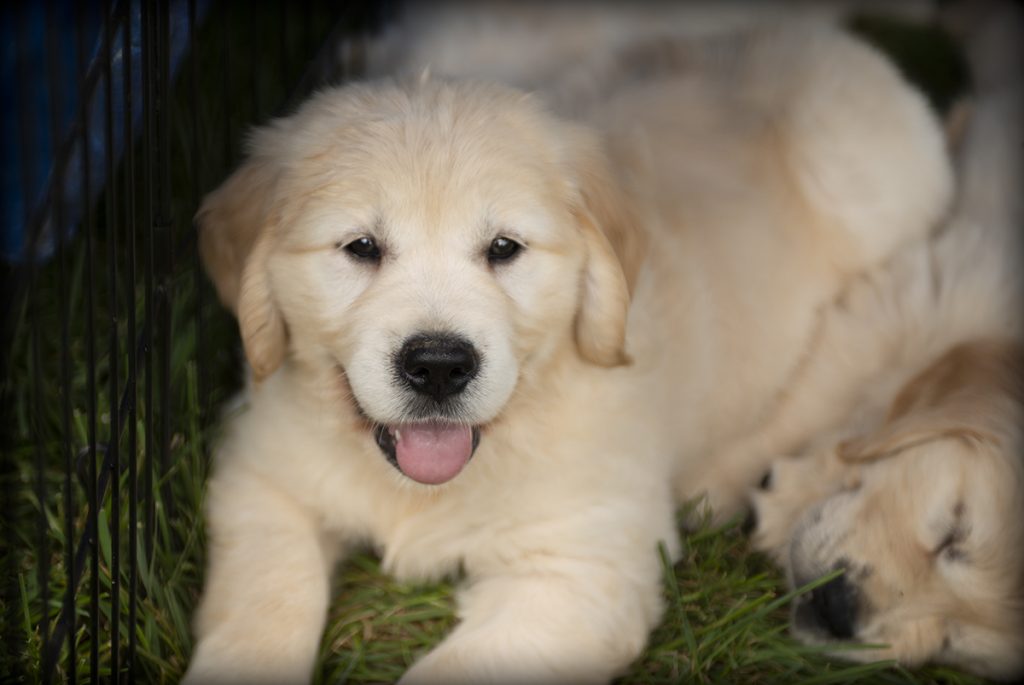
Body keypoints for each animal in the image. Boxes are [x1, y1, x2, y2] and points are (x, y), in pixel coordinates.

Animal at [186, 21, 950, 683]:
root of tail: (825, 40)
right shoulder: (263, 479)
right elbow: (262, 604)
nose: (438, 366)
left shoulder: (580, 572)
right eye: (361, 247)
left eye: (504, 248)